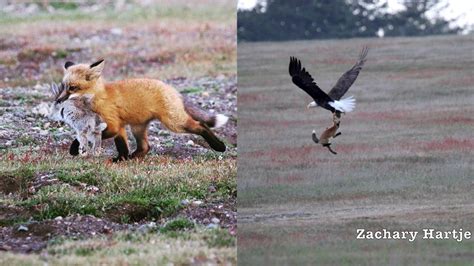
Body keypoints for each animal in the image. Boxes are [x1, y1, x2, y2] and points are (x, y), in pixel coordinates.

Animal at [57, 59, 228, 161]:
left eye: (72, 88)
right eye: (64, 87)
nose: (58, 100)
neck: (99, 97)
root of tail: (171, 89)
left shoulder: (113, 125)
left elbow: (87, 136)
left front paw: (74, 148)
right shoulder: (120, 127)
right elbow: (122, 147)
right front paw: (121, 159)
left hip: (174, 123)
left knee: (201, 126)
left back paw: (219, 146)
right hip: (137, 127)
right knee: (145, 147)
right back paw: (132, 157)